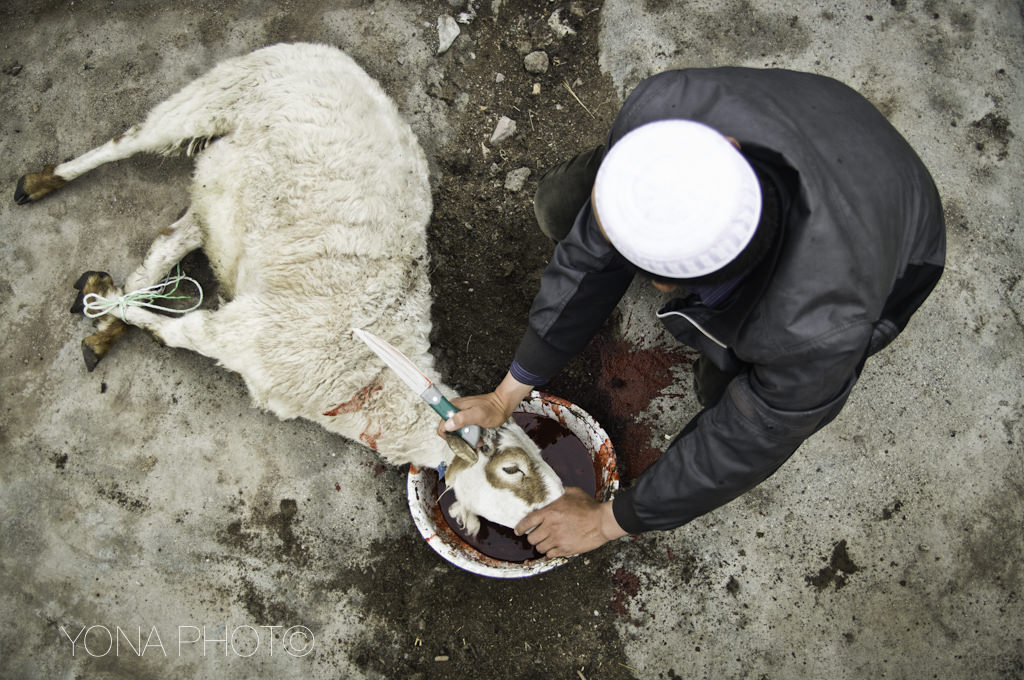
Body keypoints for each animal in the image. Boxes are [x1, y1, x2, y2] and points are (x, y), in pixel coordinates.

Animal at [12, 43, 565, 540]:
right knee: (125, 140)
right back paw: (42, 185)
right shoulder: (241, 333)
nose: (547, 524)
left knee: (169, 242)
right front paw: (118, 309)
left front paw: (107, 312)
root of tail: (334, 55)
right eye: (513, 469)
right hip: (222, 91)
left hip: (224, 198)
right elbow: (173, 334)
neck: (368, 374)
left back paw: (105, 323)